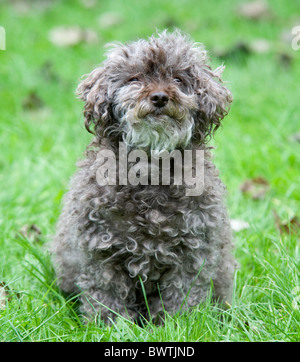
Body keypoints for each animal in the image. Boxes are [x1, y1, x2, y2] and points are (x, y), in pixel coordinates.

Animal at [51, 29, 237, 322]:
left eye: (177, 79)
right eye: (135, 79)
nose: (159, 97)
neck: (150, 168)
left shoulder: (193, 253)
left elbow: (182, 295)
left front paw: (176, 324)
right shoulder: (100, 251)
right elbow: (107, 295)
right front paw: (111, 325)